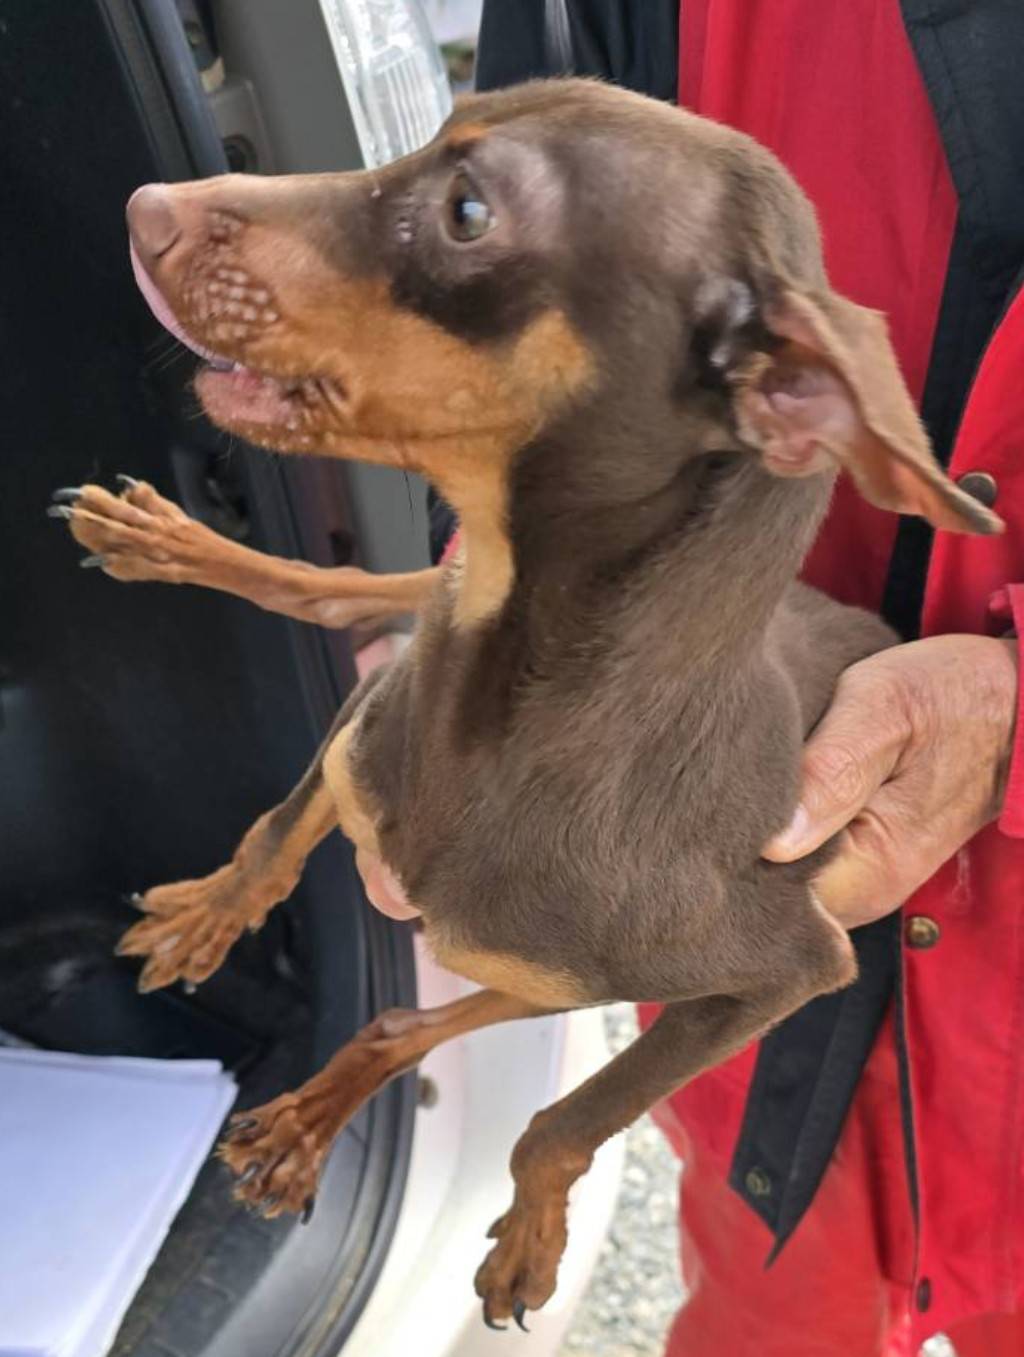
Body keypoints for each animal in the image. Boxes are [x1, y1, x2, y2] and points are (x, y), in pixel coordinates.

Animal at [51, 79, 1001, 1328]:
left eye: (467, 211)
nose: (143, 206)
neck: (497, 711)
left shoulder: (788, 970)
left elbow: (564, 1123)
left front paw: (528, 1236)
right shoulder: (368, 727)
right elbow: (275, 830)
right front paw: (207, 914)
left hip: (557, 979)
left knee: (412, 1019)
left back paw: (314, 1123)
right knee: (345, 590)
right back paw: (169, 545)